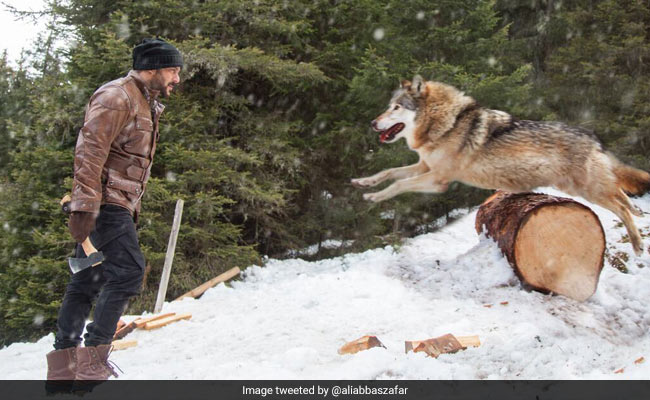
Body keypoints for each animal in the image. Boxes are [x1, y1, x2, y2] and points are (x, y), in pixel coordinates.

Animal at [354, 76, 648, 255]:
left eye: (396, 107)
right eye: (388, 106)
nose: (372, 122)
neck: (445, 123)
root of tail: (593, 137)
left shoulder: (438, 181)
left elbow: (398, 184)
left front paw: (374, 197)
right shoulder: (425, 166)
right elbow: (389, 172)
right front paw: (363, 183)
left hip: (584, 190)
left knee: (622, 208)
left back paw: (637, 244)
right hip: (584, 188)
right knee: (622, 194)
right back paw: (640, 214)